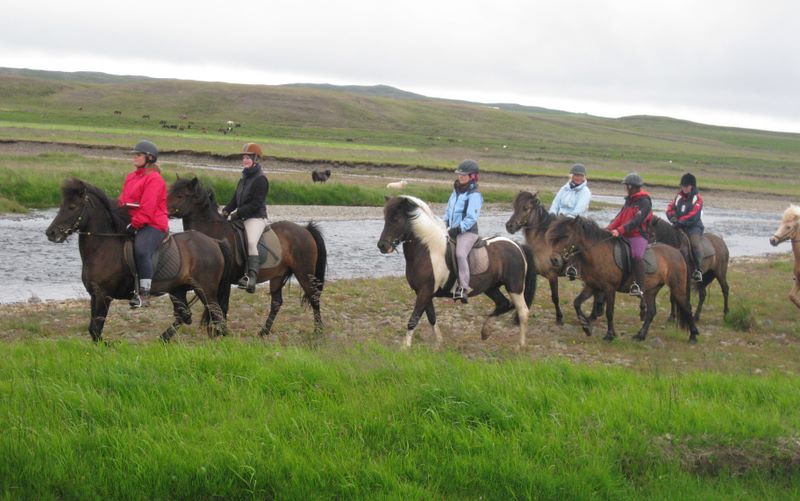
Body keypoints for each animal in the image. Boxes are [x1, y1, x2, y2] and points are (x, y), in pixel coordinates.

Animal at [45, 178, 233, 342]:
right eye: (62, 206)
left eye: (72, 207)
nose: (51, 233)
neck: (104, 246)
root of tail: (214, 242)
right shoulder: (94, 295)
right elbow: (93, 330)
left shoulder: (103, 295)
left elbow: (96, 329)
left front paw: (110, 346)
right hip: (177, 290)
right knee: (185, 315)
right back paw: (163, 339)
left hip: (205, 289)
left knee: (217, 315)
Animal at [167, 177, 327, 336]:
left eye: (180, 196)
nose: (163, 209)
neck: (212, 231)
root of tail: (305, 230)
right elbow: (214, 305)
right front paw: (216, 329)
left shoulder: (224, 281)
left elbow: (221, 305)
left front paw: (219, 331)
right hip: (278, 275)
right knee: (276, 303)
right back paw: (263, 332)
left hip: (304, 273)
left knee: (314, 297)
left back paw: (318, 331)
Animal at [377, 195, 537, 348]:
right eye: (385, 218)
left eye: (396, 219)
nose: (382, 246)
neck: (428, 251)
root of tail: (517, 245)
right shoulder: (423, 292)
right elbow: (431, 317)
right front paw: (439, 343)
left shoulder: (425, 291)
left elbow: (414, 319)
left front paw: (405, 347)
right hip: (490, 288)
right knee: (503, 304)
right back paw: (485, 331)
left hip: (515, 287)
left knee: (522, 311)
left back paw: (520, 345)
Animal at [505, 190, 604, 324]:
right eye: (514, 206)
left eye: (526, 208)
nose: (509, 226)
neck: (542, 242)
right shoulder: (534, 272)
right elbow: (525, 294)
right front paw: (517, 318)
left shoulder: (552, 275)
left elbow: (555, 297)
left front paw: (559, 318)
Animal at [546, 216, 700, 343]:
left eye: (565, 236)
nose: (554, 260)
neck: (598, 254)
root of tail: (677, 252)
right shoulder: (592, 286)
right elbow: (577, 303)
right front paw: (586, 327)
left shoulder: (609, 289)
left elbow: (609, 312)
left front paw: (609, 335)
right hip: (651, 290)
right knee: (651, 312)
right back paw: (640, 335)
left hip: (677, 288)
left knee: (686, 307)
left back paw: (693, 335)